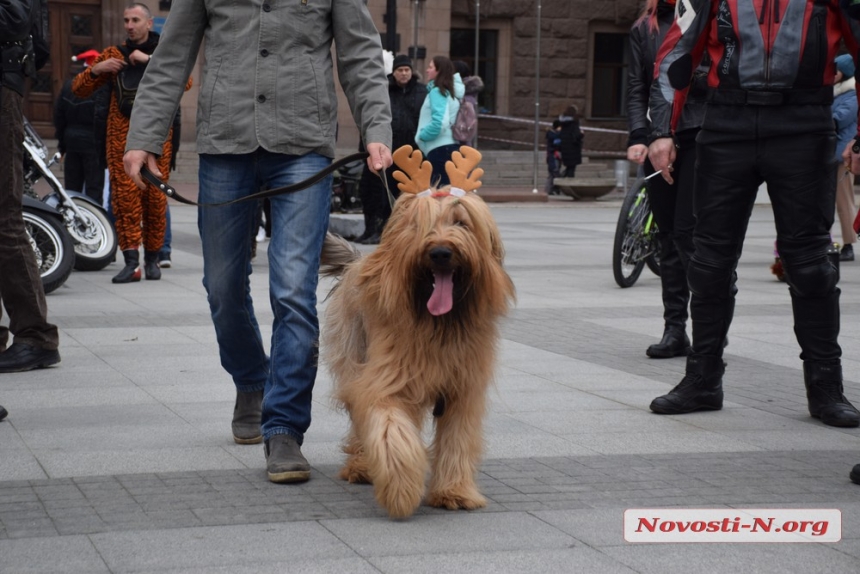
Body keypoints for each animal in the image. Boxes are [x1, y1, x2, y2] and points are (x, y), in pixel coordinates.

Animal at [320, 146, 510, 520]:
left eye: (461, 222)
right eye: (419, 225)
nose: (440, 252)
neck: (438, 324)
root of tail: (355, 263)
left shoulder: (462, 391)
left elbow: (457, 439)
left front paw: (454, 491)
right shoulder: (385, 381)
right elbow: (390, 431)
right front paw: (399, 491)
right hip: (353, 357)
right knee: (358, 416)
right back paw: (361, 466)